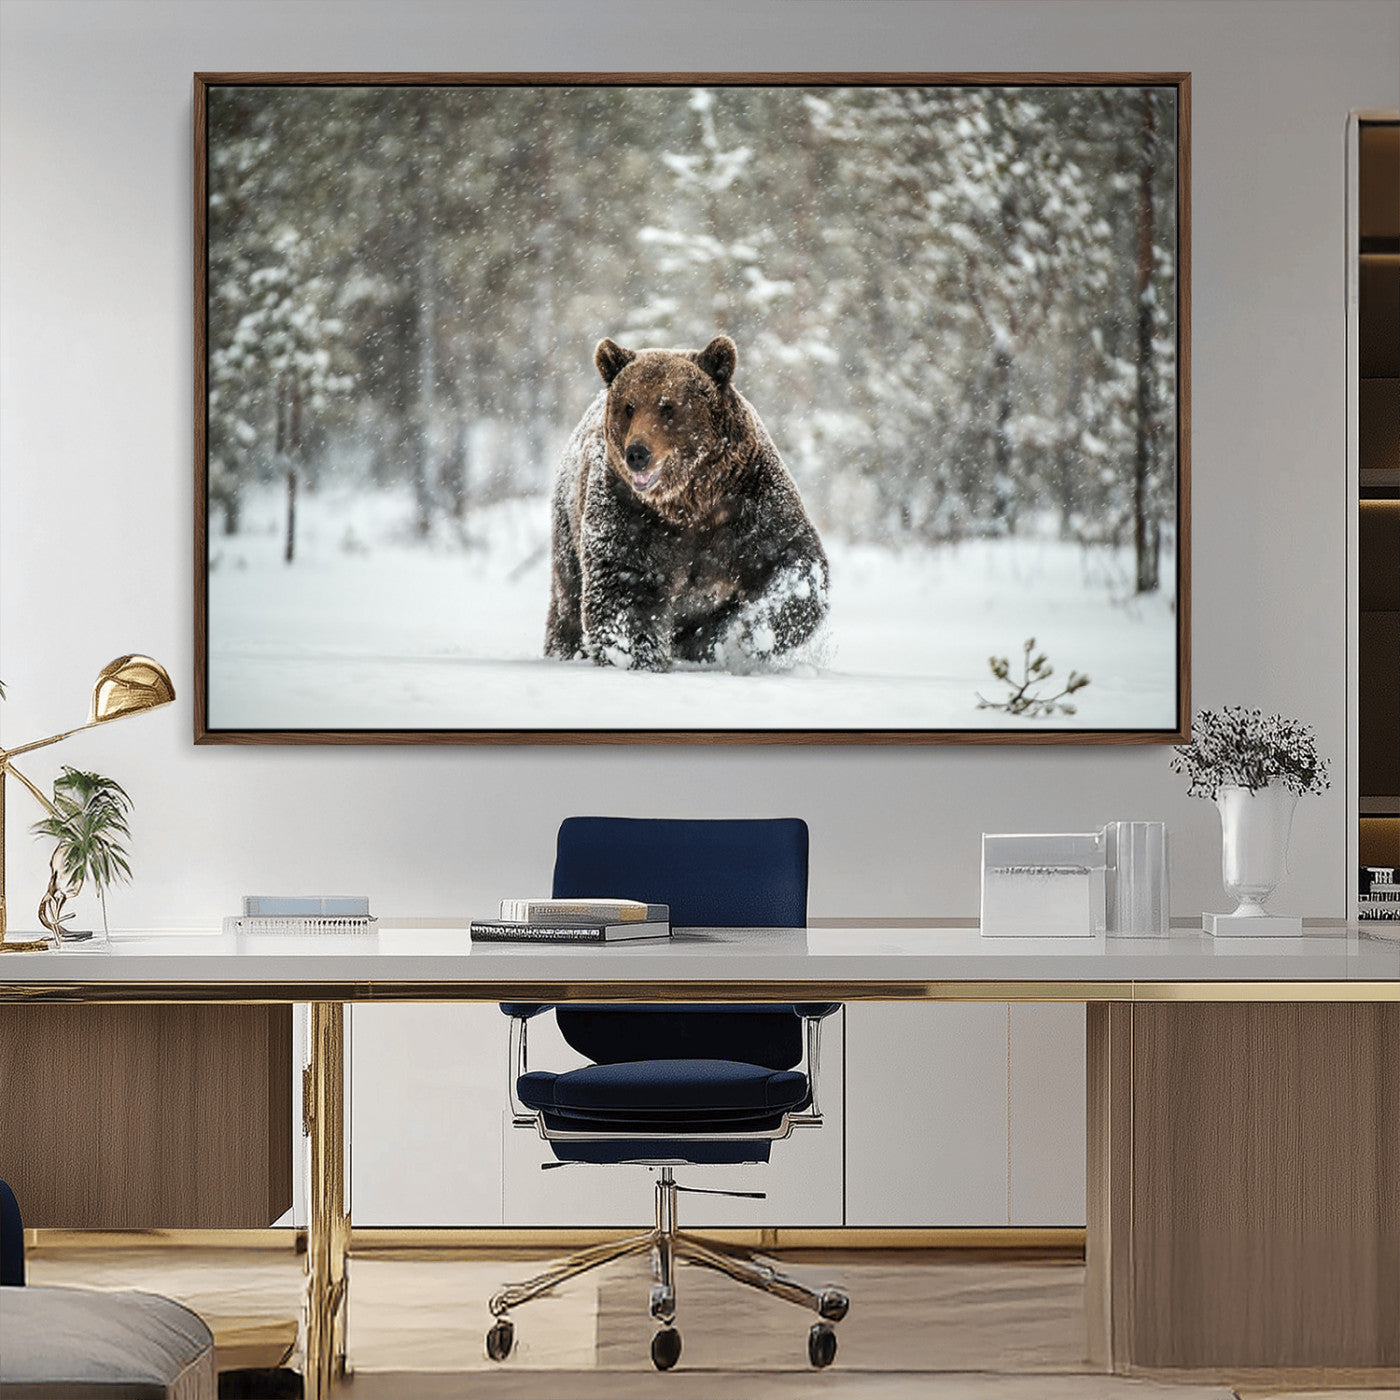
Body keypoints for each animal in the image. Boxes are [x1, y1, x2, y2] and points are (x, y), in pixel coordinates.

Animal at [544, 335, 829, 673]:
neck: (690, 501)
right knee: (568, 599)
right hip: (568, 524)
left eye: (668, 407)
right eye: (629, 406)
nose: (637, 453)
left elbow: (791, 560)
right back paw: (565, 649)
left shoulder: (749, 501)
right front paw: (638, 657)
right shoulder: (630, 513)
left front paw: (751, 634)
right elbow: (624, 586)